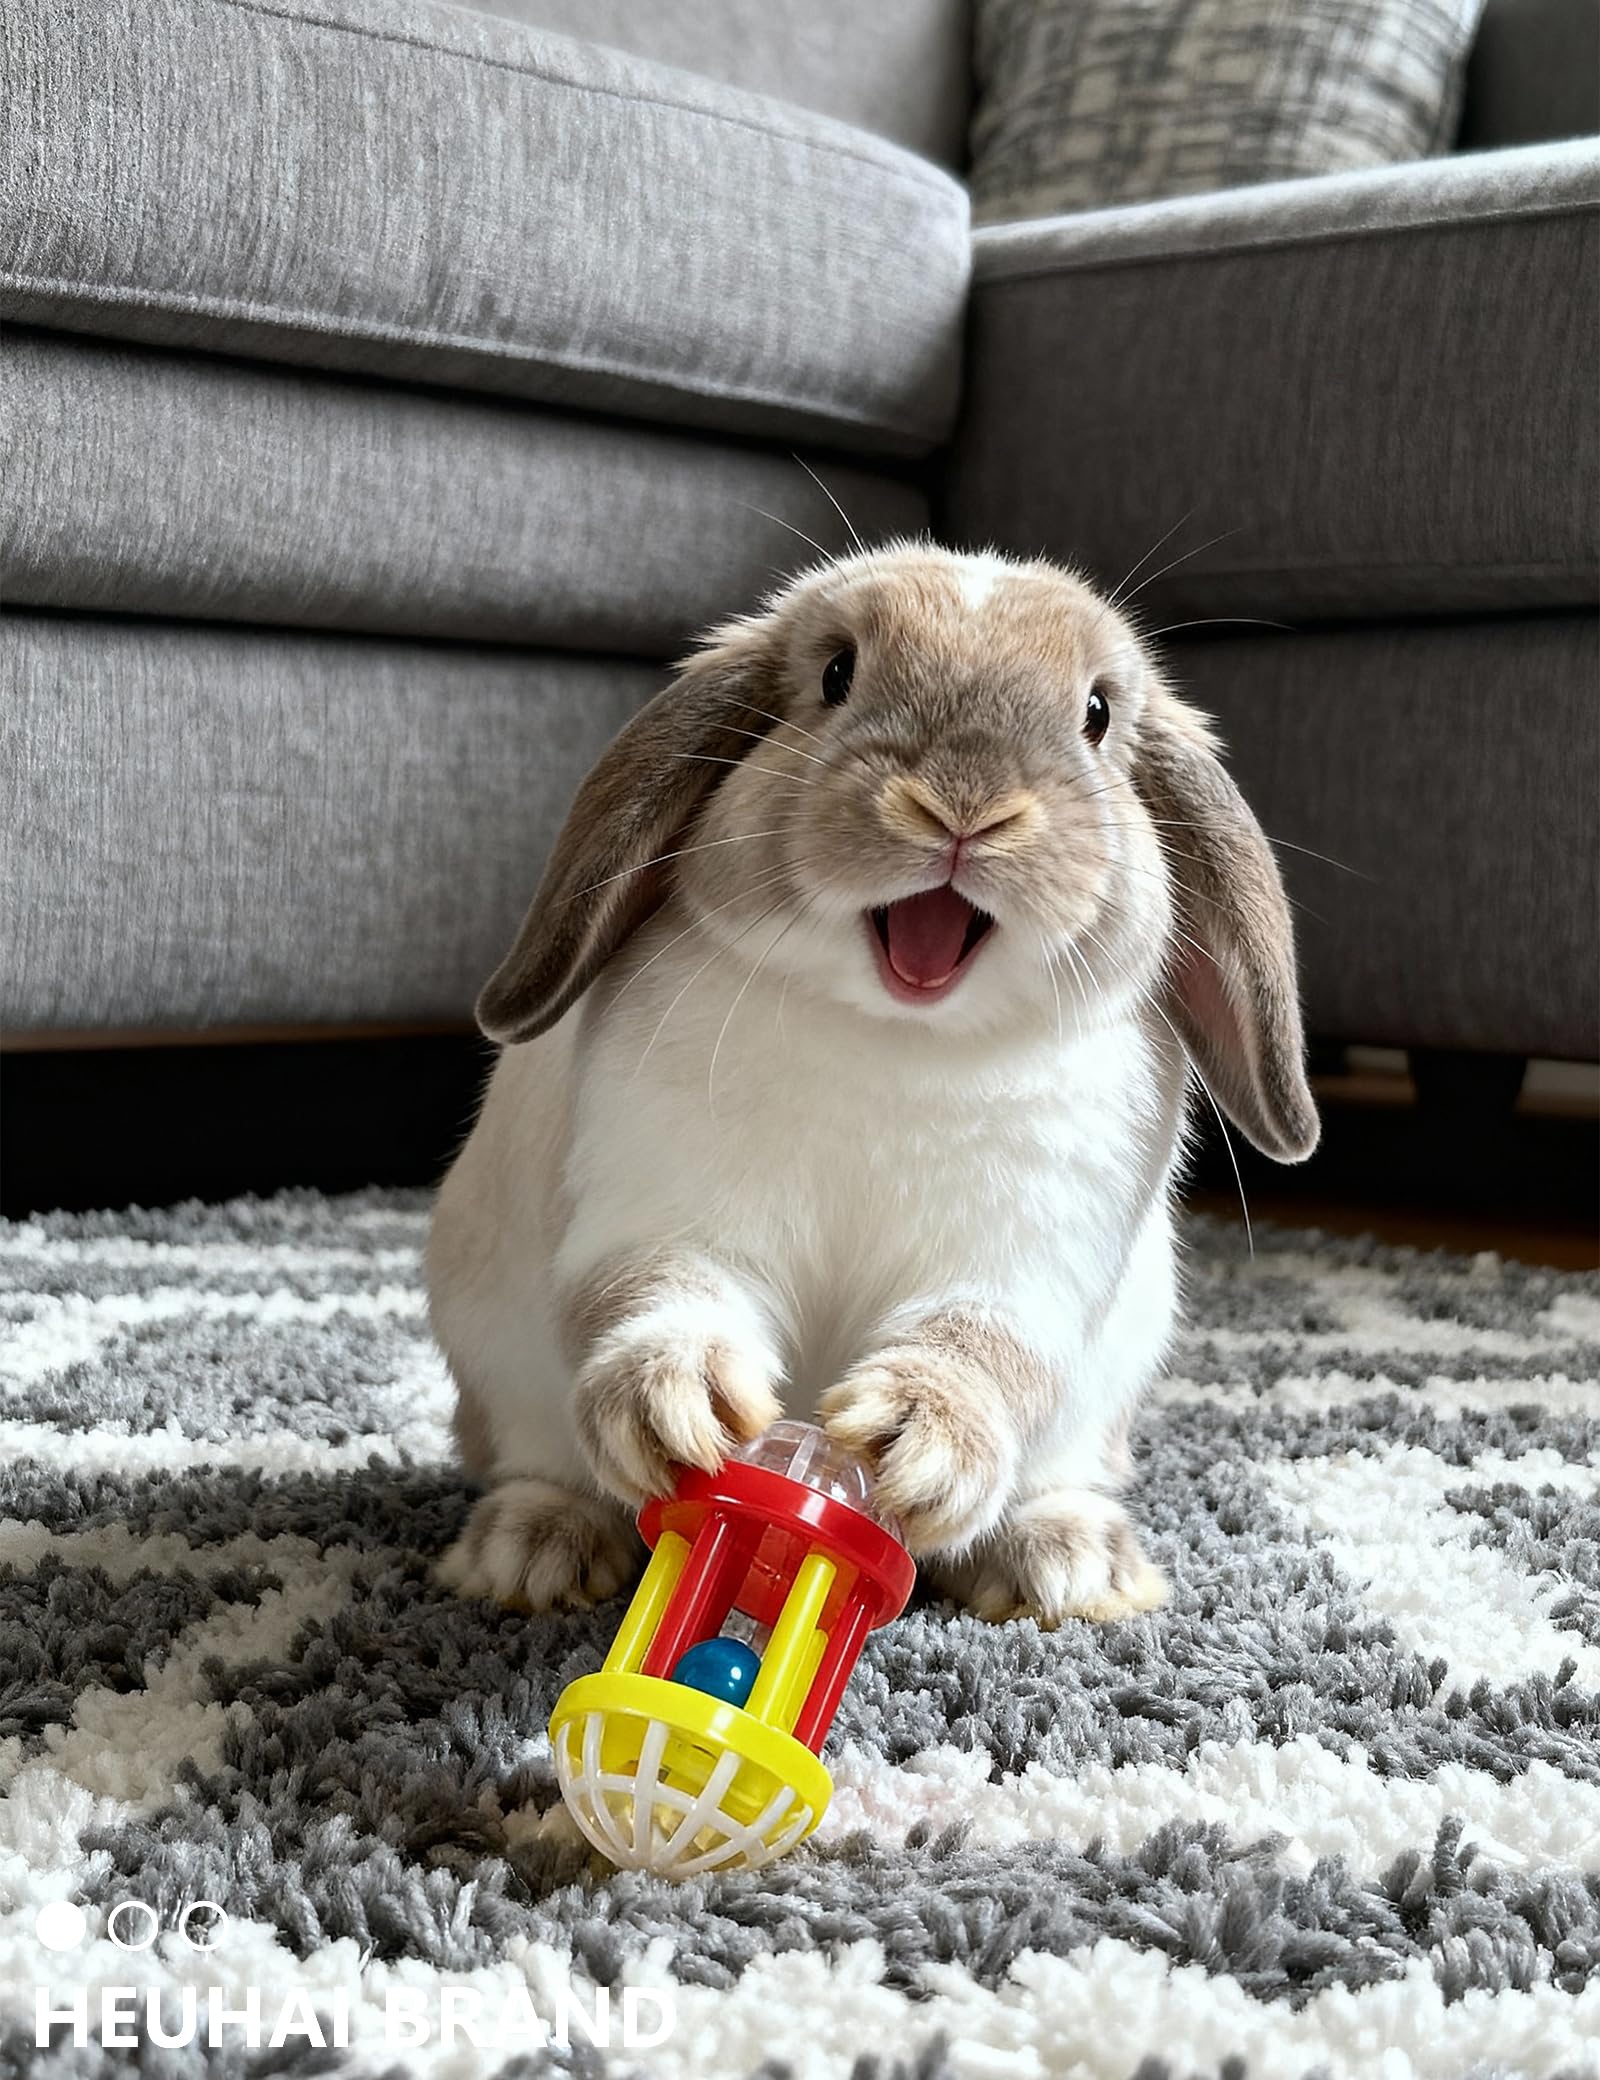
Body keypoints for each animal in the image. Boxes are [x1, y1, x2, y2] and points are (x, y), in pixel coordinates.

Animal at [427, 542, 1317, 1627]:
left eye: (1099, 714)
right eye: (836, 674)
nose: (963, 808)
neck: (901, 1035)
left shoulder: (1021, 1271)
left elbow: (984, 1349)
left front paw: (909, 1442)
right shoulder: (660, 1215)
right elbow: (657, 1292)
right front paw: (681, 1408)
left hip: (1104, 1399)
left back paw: (1064, 1569)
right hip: (491, 1349)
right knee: (528, 1455)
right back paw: (534, 1553)